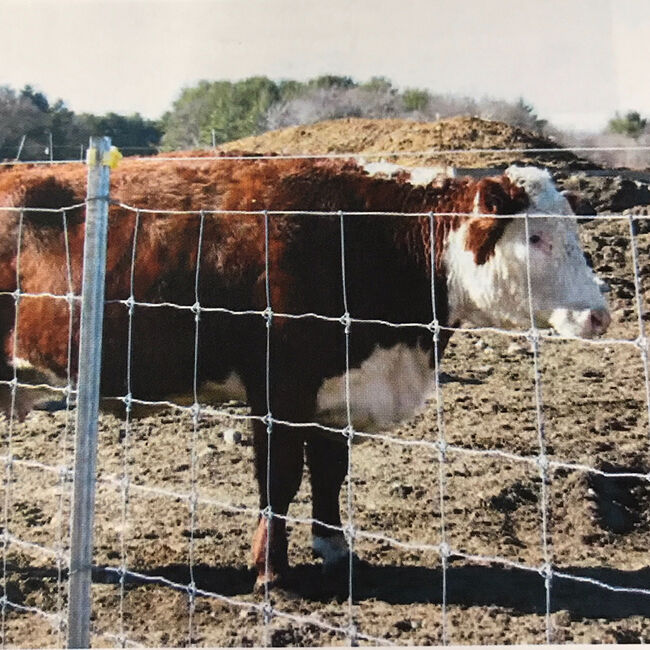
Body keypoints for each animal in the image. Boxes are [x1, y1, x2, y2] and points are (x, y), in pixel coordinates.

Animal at [0, 156, 610, 590]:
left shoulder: (335, 393)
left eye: (574, 236)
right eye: (535, 238)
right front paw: (270, 569)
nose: (600, 315)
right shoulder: (279, 389)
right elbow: (281, 479)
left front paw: (335, 550)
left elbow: (329, 473)